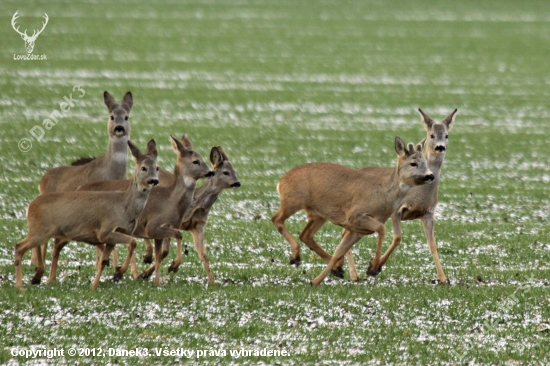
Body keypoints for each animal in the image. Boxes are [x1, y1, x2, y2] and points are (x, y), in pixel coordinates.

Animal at [14, 139, 160, 290]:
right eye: (143, 168)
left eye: (157, 167)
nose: (154, 180)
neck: (125, 206)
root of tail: (30, 206)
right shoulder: (106, 230)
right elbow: (133, 242)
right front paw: (119, 273)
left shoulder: (114, 234)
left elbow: (104, 260)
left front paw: (95, 285)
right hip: (41, 231)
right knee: (19, 247)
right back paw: (21, 285)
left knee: (38, 246)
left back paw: (39, 279)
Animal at [78, 134, 215, 286]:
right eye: (196, 161)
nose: (211, 172)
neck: (170, 201)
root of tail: (79, 188)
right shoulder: (153, 226)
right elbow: (178, 236)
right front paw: (173, 266)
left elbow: (159, 254)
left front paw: (156, 281)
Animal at [274, 137, 438, 286]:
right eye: (413, 163)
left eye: (425, 162)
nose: (430, 175)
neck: (384, 195)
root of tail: (281, 181)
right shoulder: (355, 215)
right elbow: (381, 229)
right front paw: (373, 267)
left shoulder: (357, 229)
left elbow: (339, 251)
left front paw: (316, 281)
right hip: (293, 200)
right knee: (277, 218)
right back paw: (295, 256)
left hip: (318, 214)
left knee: (305, 234)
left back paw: (333, 268)